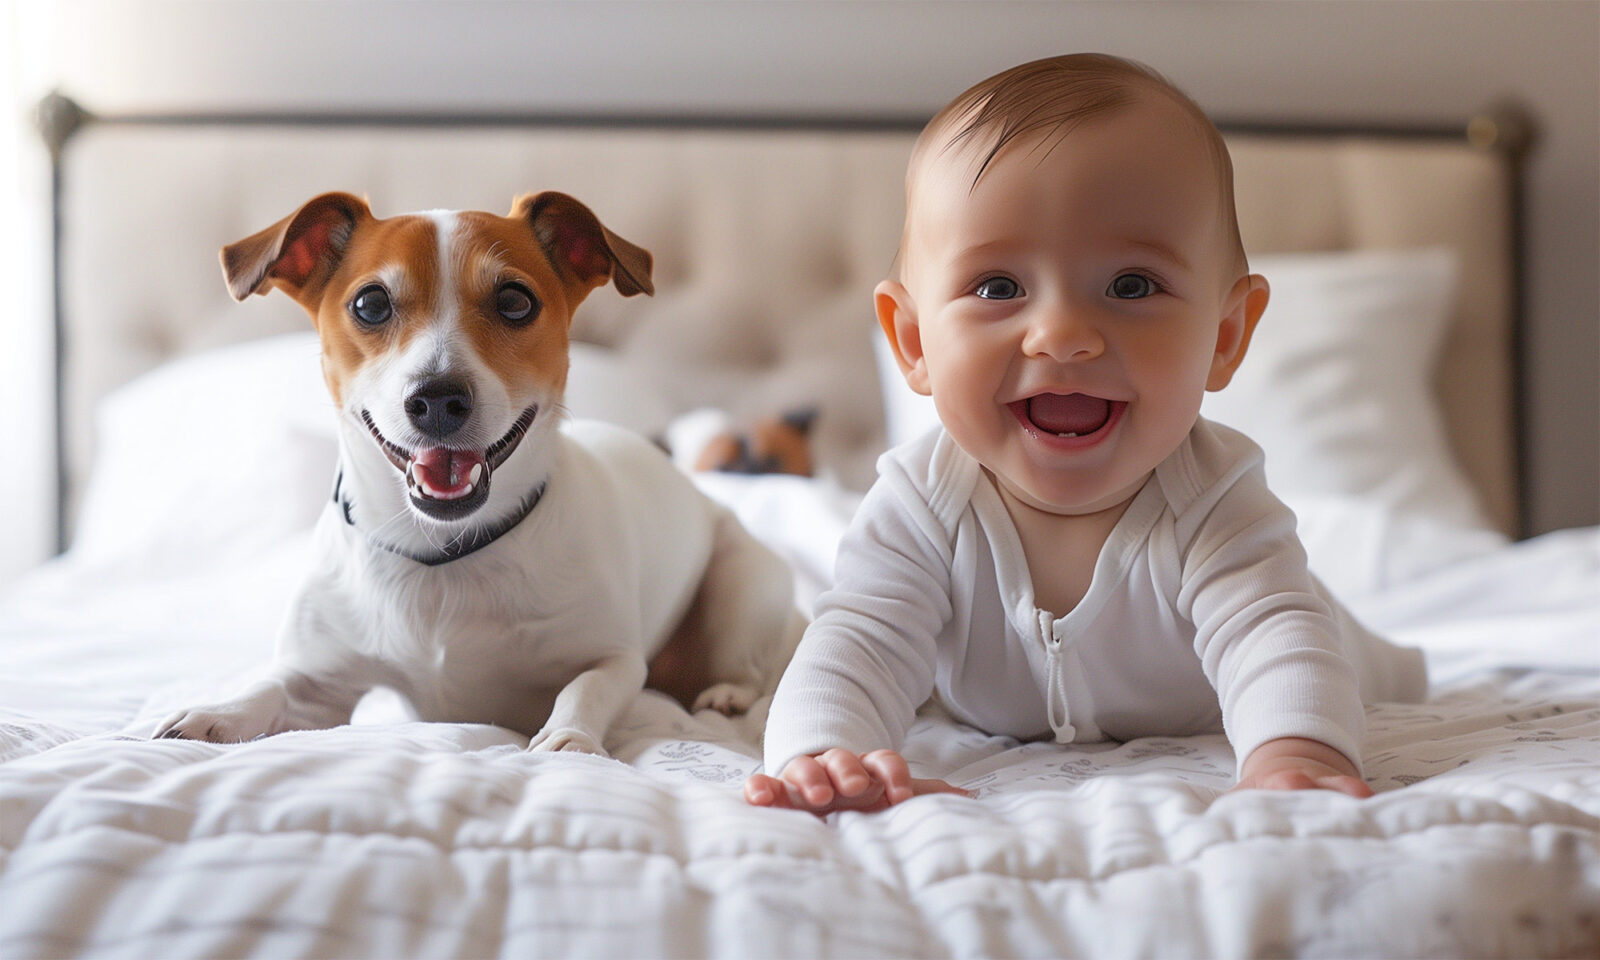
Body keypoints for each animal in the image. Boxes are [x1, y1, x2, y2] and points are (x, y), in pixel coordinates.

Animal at [157, 191, 806, 755]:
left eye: (515, 301)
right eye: (370, 304)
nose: (438, 398)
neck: (442, 554)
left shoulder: (616, 658)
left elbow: (588, 685)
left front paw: (568, 737)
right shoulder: (320, 683)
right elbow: (271, 686)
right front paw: (218, 713)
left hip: (741, 588)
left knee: (759, 667)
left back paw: (726, 693)